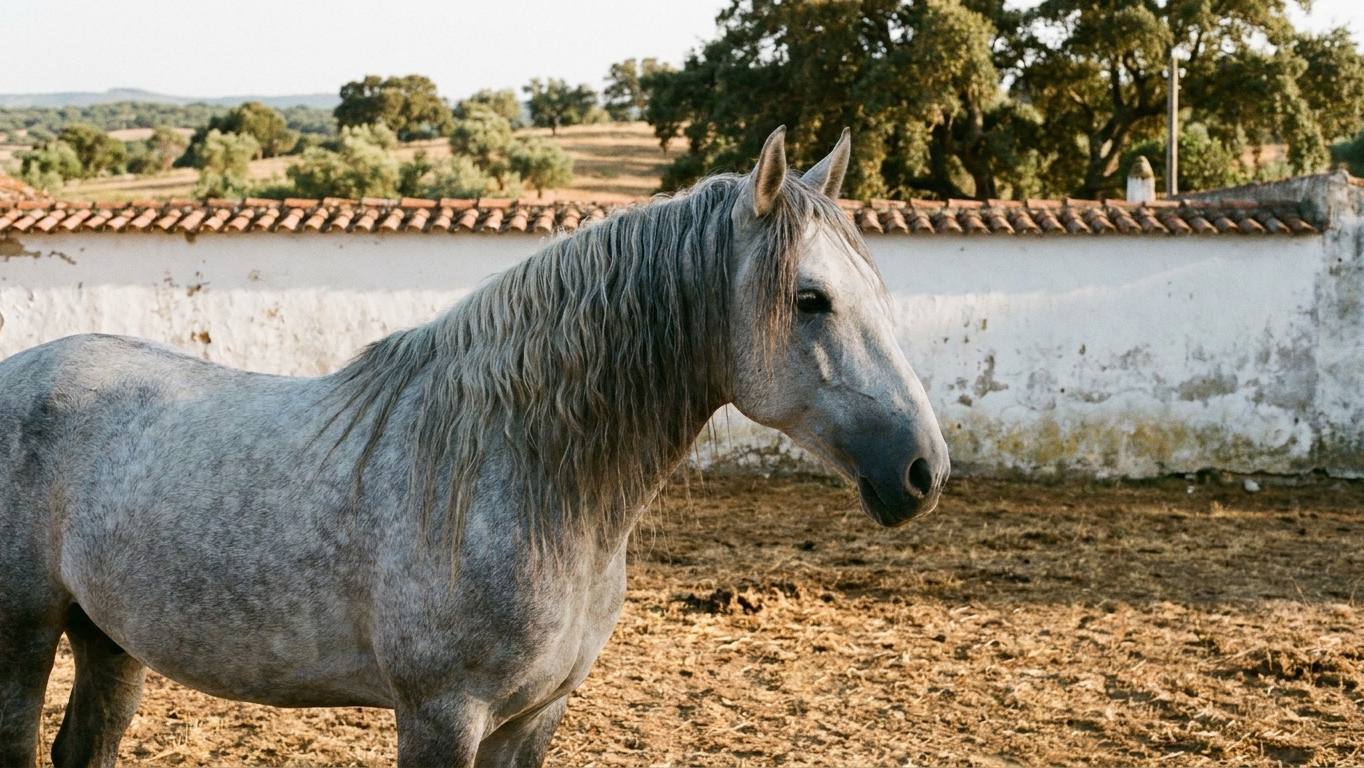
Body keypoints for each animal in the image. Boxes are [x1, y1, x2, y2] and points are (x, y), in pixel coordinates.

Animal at [0, 127, 949, 768]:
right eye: (812, 299)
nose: (923, 470)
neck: (516, 472)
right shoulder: (441, 713)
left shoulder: (535, 716)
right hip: (26, 635)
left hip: (108, 638)